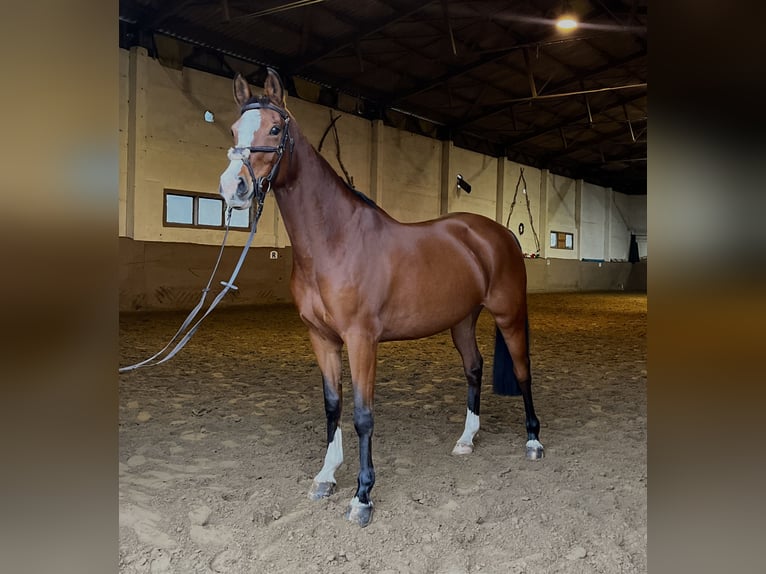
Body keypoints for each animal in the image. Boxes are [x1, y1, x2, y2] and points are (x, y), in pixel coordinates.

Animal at [219, 70, 544, 528]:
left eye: (276, 129)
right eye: (234, 130)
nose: (234, 187)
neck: (334, 240)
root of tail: (499, 234)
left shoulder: (361, 340)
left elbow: (362, 415)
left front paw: (362, 496)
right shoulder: (322, 338)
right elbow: (332, 405)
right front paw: (325, 477)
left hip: (509, 314)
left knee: (522, 370)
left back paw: (533, 440)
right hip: (461, 320)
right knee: (474, 368)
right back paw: (466, 439)